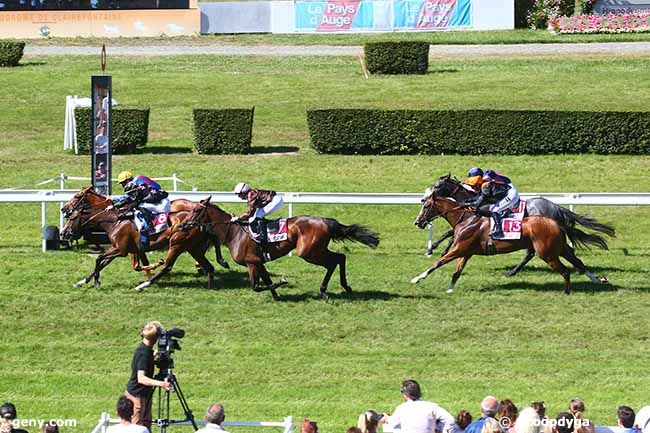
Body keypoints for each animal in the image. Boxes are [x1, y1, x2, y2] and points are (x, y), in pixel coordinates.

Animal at [61, 187, 223, 288]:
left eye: (77, 196)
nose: (64, 233)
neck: (115, 219)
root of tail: (199, 220)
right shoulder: (125, 248)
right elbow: (104, 263)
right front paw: (82, 281)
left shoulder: (122, 250)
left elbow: (100, 259)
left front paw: (95, 282)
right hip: (192, 247)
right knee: (207, 265)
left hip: (177, 244)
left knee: (168, 266)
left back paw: (145, 285)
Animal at [137, 197, 380, 298]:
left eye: (196, 211)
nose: (183, 225)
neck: (233, 233)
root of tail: (327, 221)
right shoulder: (258, 262)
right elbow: (266, 282)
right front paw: (277, 294)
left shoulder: (252, 262)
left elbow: (256, 286)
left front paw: (283, 282)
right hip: (315, 250)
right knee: (339, 258)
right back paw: (342, 287)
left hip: (309, 252)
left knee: (335, 261)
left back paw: (326, 289)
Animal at [412, 188, 612, 294]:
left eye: (427, 205)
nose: (417, 222)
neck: (467, 219)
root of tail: (556, 219)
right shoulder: (466, 252)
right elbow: (456, 272)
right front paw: (450, 290)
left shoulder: (460, 249)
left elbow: (439, 262)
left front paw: (417, 278)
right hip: (560, 247)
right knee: (578, 261)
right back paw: (598, 280)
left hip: (547, 253)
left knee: (564, 269)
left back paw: (566, 290)